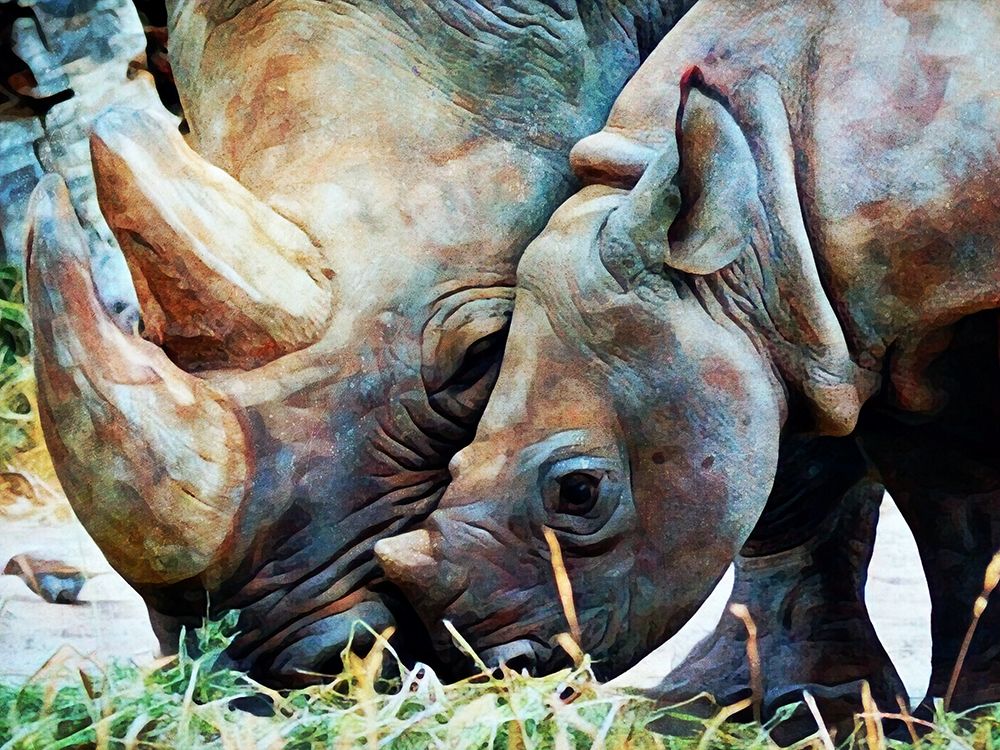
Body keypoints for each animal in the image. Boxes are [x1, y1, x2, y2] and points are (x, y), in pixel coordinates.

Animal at [376, 0, 1000, 723]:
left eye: (579, 492)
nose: (485, 666)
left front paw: (974, 712)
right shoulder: (883, 337)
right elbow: (959, 524)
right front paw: (967, 713)